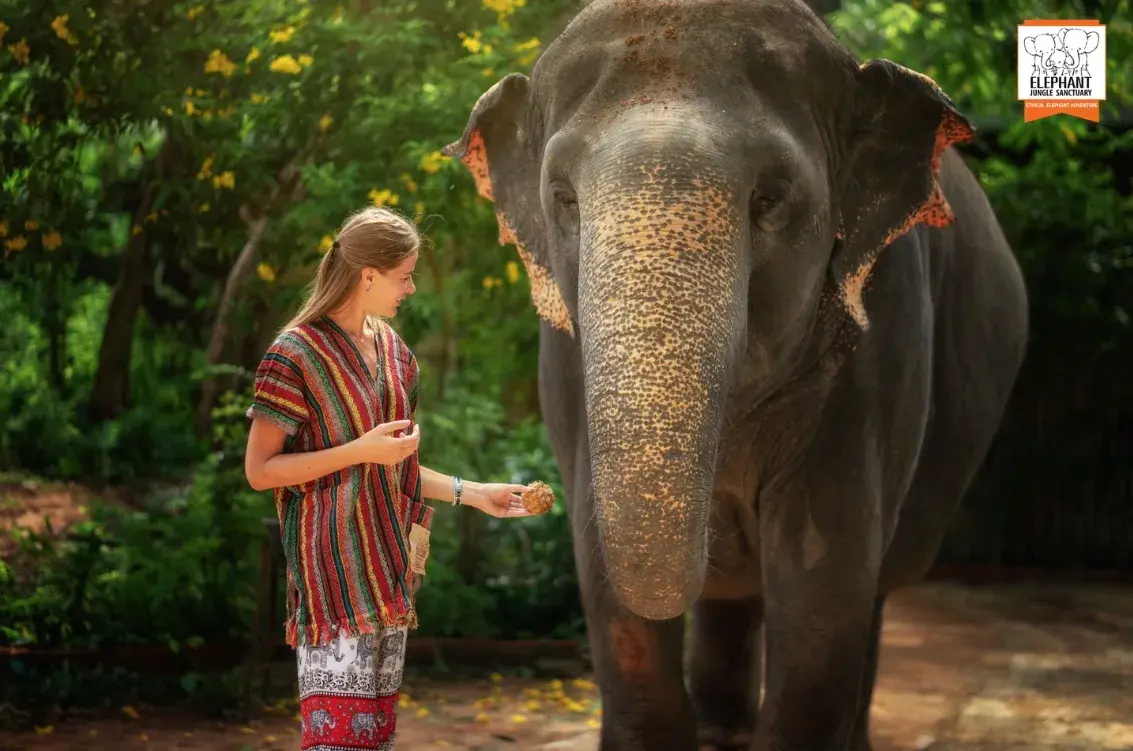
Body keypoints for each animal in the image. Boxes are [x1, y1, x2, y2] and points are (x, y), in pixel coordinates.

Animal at [443, 1, 1029, 750]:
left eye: (771, 197)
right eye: (563, 197)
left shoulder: (883, 332)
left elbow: (822, 577)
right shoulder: (565, 353)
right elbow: (603, 577)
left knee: (868, 593)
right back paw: (722, 730)